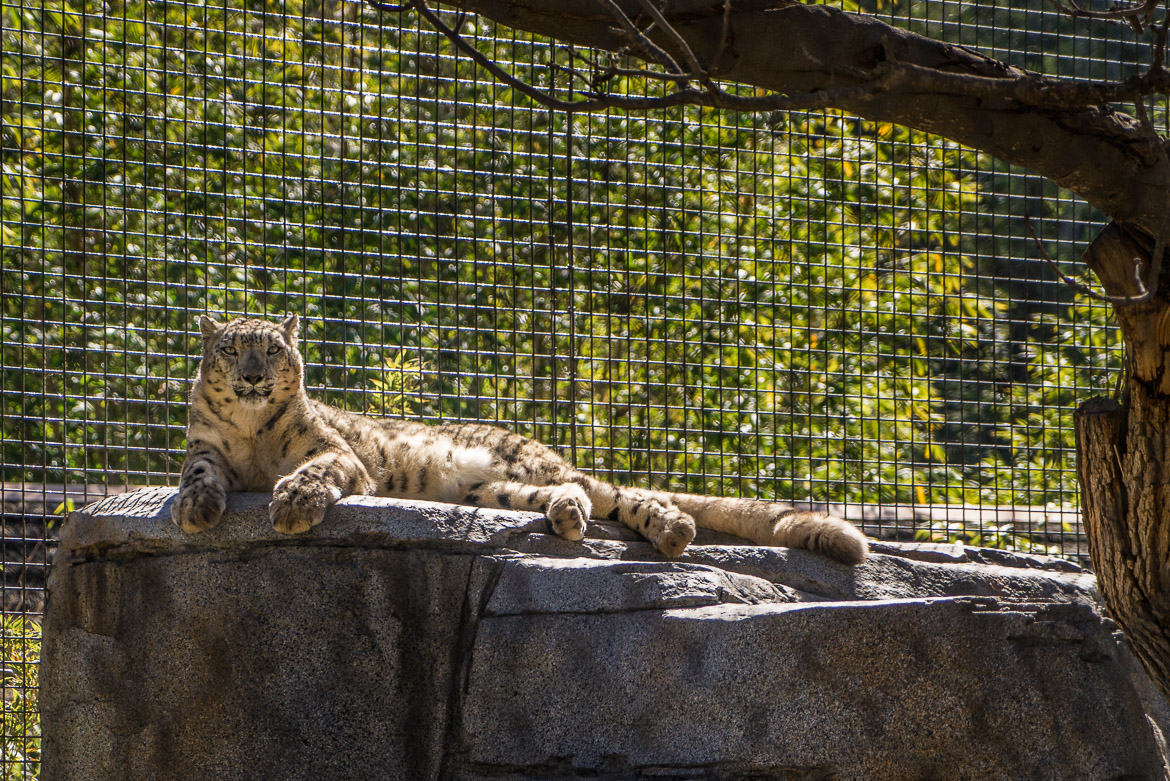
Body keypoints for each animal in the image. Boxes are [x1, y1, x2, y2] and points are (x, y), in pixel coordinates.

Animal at [171, 315, 868, 564]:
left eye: (272, 349)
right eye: (230, 349)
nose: (253, 378)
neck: (252, 438)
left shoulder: (333, 453)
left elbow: (316, 471)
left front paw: (290, 504)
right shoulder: (206, 446)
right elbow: (197, 474)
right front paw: (195, 510)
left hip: (529, 467)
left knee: (624, 497)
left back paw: (671, 529)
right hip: (494, 492)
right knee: (576, 497)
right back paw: (567, 519)